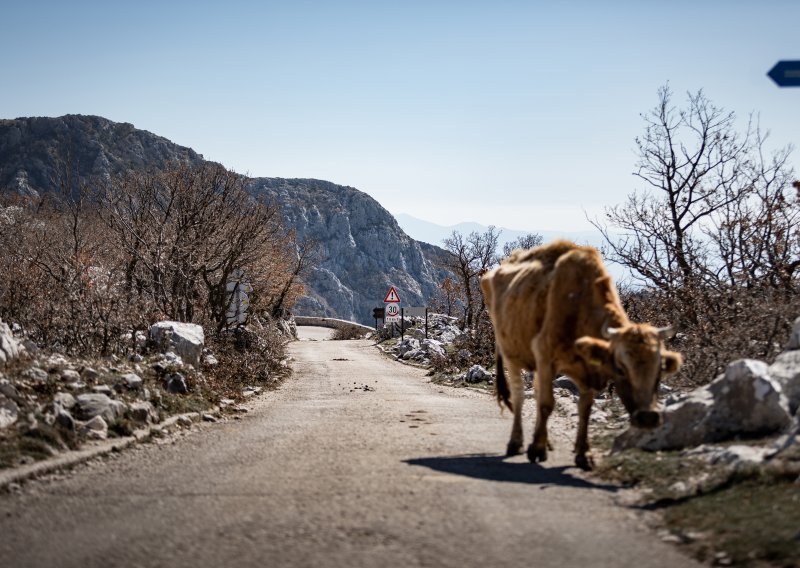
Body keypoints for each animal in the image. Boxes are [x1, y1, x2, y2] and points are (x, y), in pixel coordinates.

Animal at [482, 241, 680, 470]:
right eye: (620, 368)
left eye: (659, 370)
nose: (648, 418)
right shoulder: (545, 355)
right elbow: (546, 403)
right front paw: (537, 449)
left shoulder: (586, 369)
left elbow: (584, 409)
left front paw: (583, 453)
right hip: (510, 353)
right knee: (519, 395)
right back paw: (517, 442)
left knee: (536, 391)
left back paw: (544, 440)